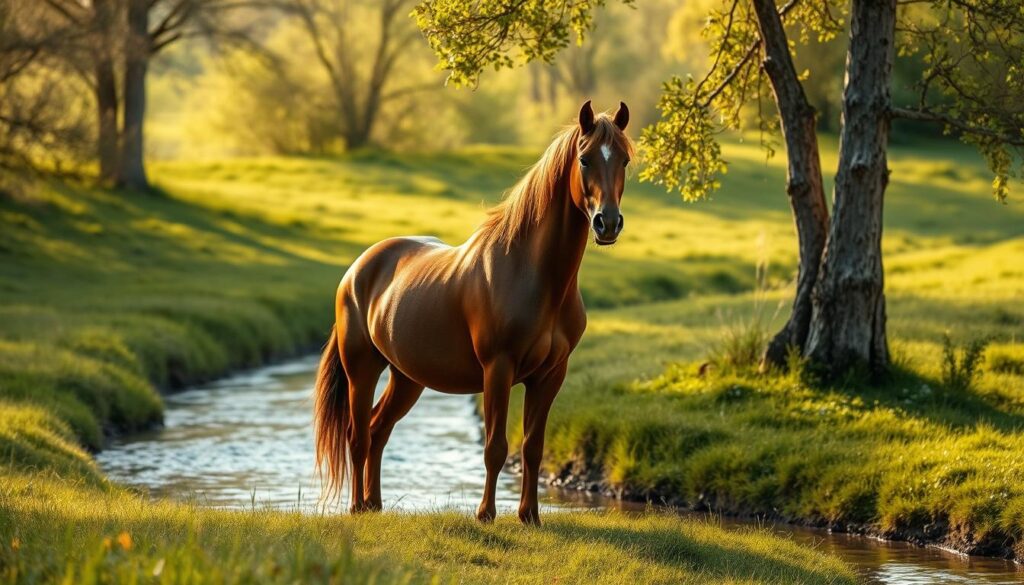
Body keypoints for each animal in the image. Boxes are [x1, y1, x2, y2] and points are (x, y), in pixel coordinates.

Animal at [313, 100, 632, 524]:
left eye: (625, 159)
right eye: (584, 158)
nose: (607, 223)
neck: (533, 274)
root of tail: (357, 270)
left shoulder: (550, 375)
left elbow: (532, 447)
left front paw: (530, 516)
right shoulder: (498, 369)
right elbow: (495, 447)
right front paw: (485, 515)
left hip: (406, 377)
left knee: (379, 430)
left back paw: (374, 505)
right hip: (361, 369)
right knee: (359, 436)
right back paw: (356, 508)